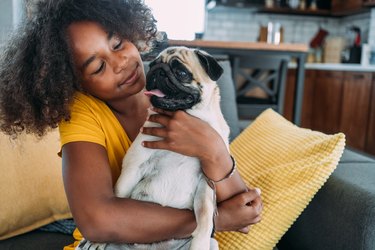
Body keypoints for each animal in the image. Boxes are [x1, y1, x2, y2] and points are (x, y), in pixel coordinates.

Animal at [78, 47, 229, 250]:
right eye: (152, 65)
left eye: (181, 73)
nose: (158, 71)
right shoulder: (134, 167)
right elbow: (119, 196)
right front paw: (96, 240)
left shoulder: (206, 182)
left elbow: (205, 216)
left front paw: (200, 243)